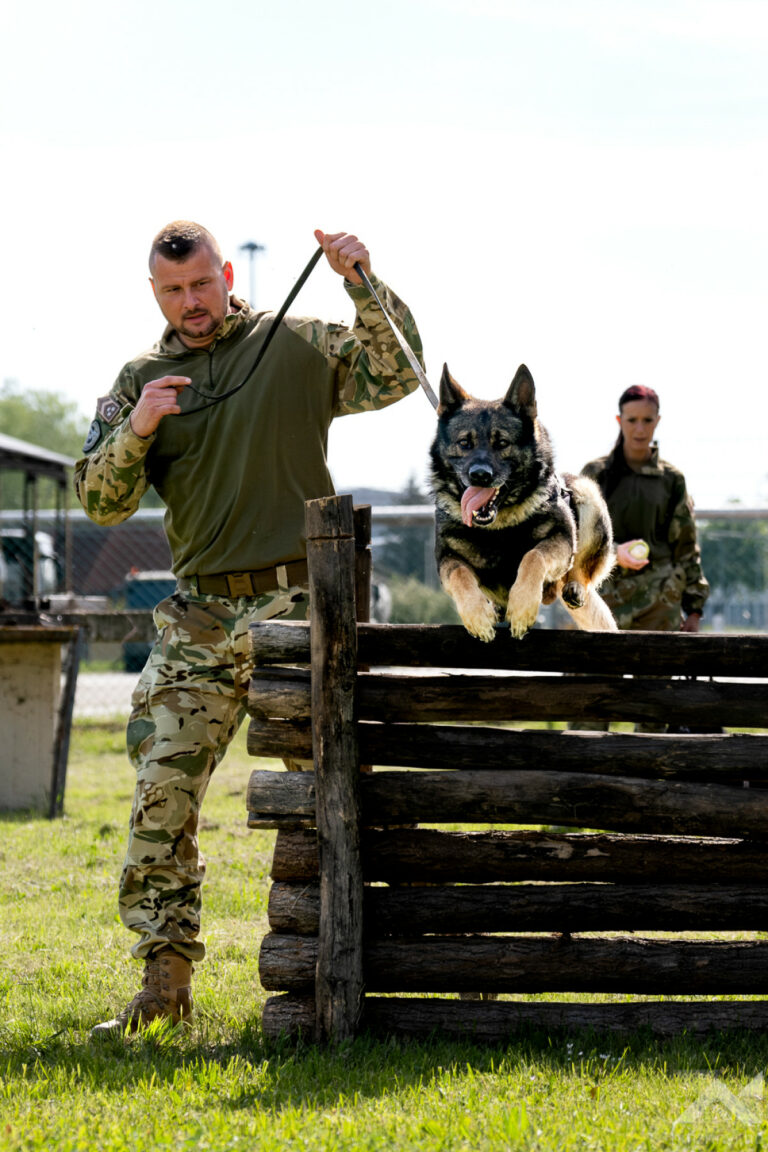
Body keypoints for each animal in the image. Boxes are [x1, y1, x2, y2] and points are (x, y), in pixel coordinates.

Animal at [432, 364, 617, 640]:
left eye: (502, 443)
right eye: (464, 443)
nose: (480, 475)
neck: (499, 524)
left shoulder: (561, 539)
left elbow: (533, 557)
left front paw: (522, 607)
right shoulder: (447, 558)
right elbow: (460, 575)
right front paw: (477, 616)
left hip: (588, 494)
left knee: (580, 571)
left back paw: (575, 587)